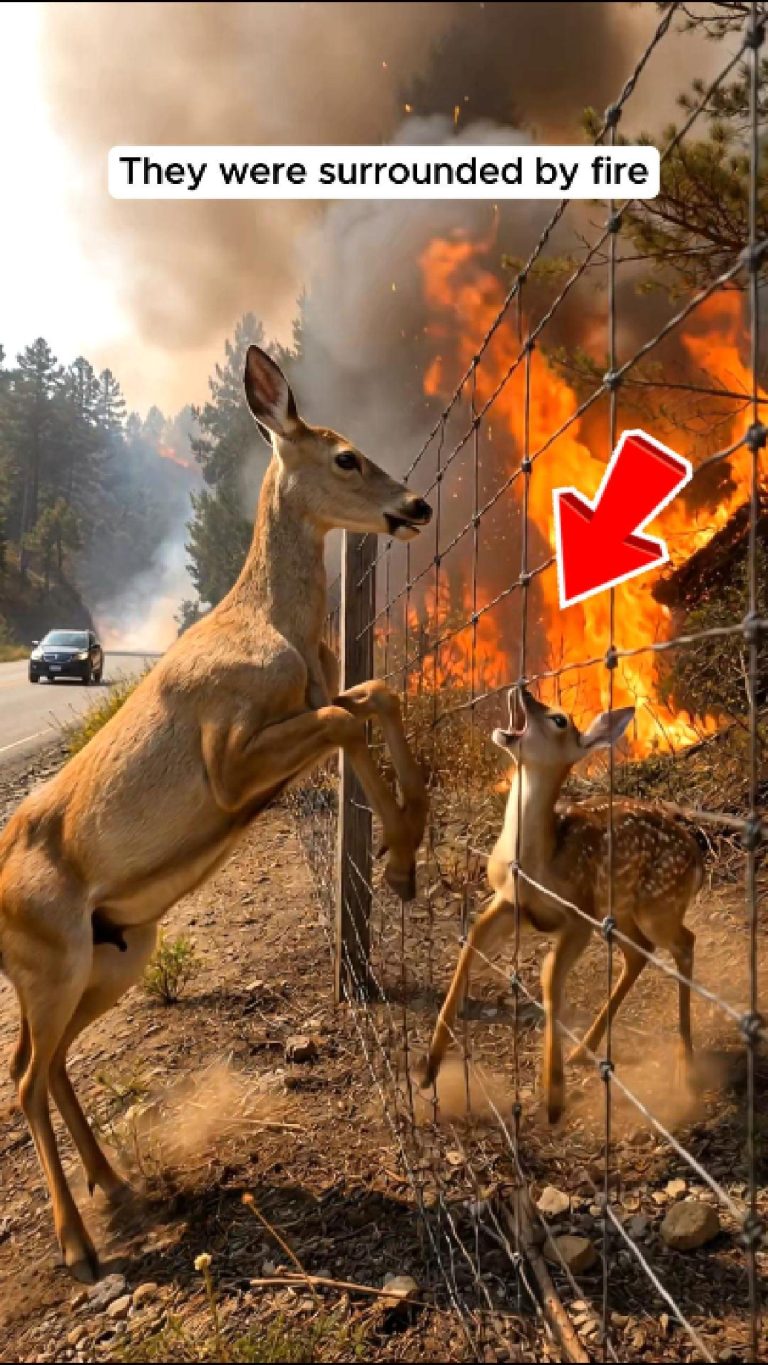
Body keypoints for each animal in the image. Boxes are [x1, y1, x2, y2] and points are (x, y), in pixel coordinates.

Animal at [0, 346, 433, 1283]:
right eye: (346, 456)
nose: (416, 504)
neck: (275, 628)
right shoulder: (228, 756)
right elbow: (348, 717)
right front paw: (397, 852)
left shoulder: (311, 696)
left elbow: (373, 693)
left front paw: (408, 847)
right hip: (53, 956)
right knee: (21, 1078)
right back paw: (80, 1246)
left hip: (115, 952)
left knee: (40, 1063)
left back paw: (116, 1188)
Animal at [422, 686, 704, 1123]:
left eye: (559, 720)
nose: (522, 689)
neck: (538, 862)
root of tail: (698, 856)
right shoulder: (510, 903)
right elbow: (470, 945)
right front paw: (429, 1064)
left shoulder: (578, 914)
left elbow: (550, 977)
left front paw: (553, 1096)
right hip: (622, 909)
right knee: (640, 952)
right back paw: (583, 1050)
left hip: (659, 903)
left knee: (683, 943)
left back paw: (684, 1065)